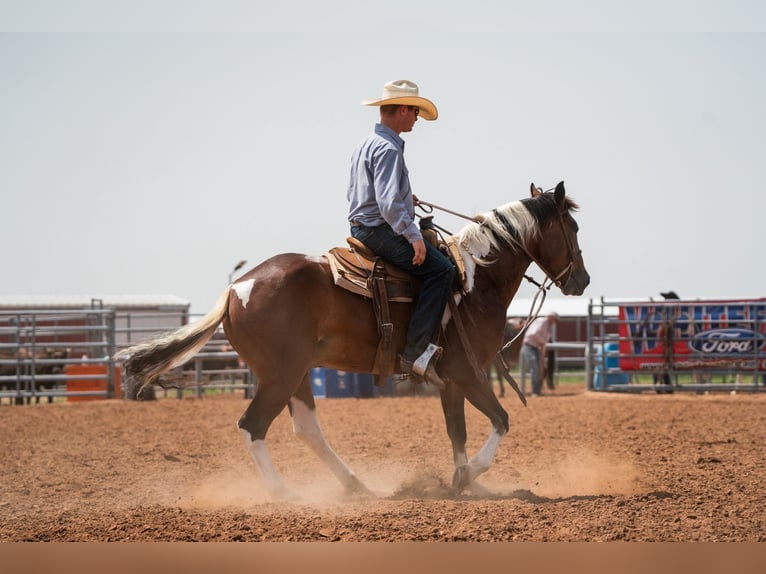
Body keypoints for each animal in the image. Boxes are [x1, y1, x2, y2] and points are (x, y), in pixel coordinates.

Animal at [117, 181, 589, 499]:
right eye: (573, 228)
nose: (582, 281)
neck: (474, 279)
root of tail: (236, 288)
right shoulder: (466, 372)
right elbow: (500, 421)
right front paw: (471, 474)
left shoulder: (452, 380)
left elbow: (458, 431)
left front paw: (462, 481)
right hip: (281, 374)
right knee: (253, 426)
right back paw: (285, 494)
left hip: (294, 374)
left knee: (307, 429)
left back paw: (355, 484)